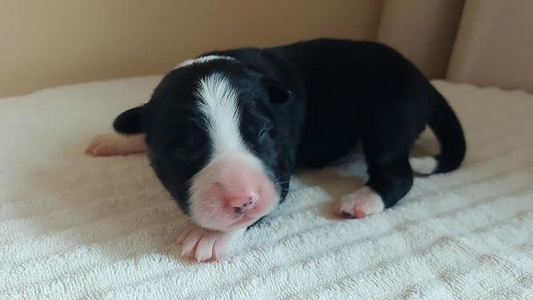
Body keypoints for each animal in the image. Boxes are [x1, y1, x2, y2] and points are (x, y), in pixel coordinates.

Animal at [85, 38, 464, 262]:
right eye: (180, 151)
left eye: (265, 134)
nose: (243, 201)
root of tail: (424, 81)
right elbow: (140, 118)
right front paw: (115, 137)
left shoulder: (280, 167)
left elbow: (271, 198)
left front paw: (210, 235)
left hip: (390, 112)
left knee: (398, 173)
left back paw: (363, 199)